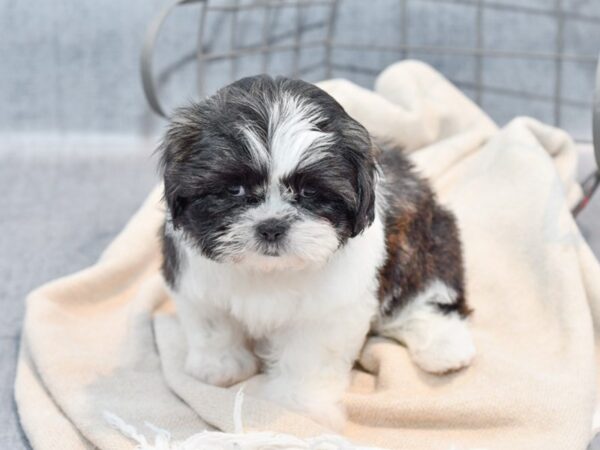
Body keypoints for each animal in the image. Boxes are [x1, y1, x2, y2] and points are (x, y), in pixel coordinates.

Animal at [157, 74, 476, 428]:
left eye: (309, 192)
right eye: (234, 189)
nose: (271, 226)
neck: (268, 270)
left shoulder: (328, 311)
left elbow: (308, 356)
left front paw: (300, 405)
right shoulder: (197, 284)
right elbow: (213, 324)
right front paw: (220, 366)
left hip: (428, 241)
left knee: (426, 291)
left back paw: (444, 346)